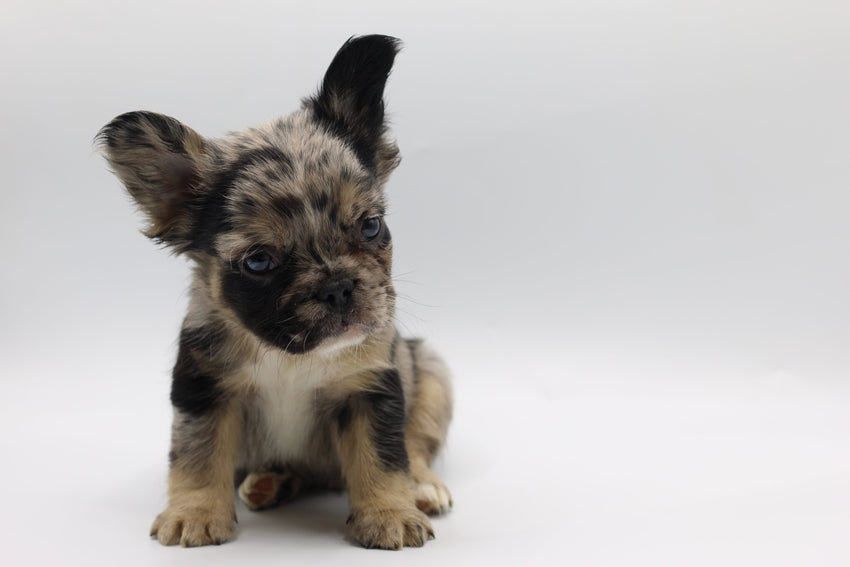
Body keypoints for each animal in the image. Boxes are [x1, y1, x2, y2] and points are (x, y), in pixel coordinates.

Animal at [97, 35, 454, 552]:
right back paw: (269, 482)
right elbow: (197, 455)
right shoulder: (205, 389)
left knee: (417, 445)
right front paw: (195, 512)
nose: (338, 286)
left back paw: (422, 486)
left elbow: (384, 457)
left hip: (430, 377)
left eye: (371, 227)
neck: (289, 354)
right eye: (259, 262)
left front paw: (390, 513)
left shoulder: (369, 387)